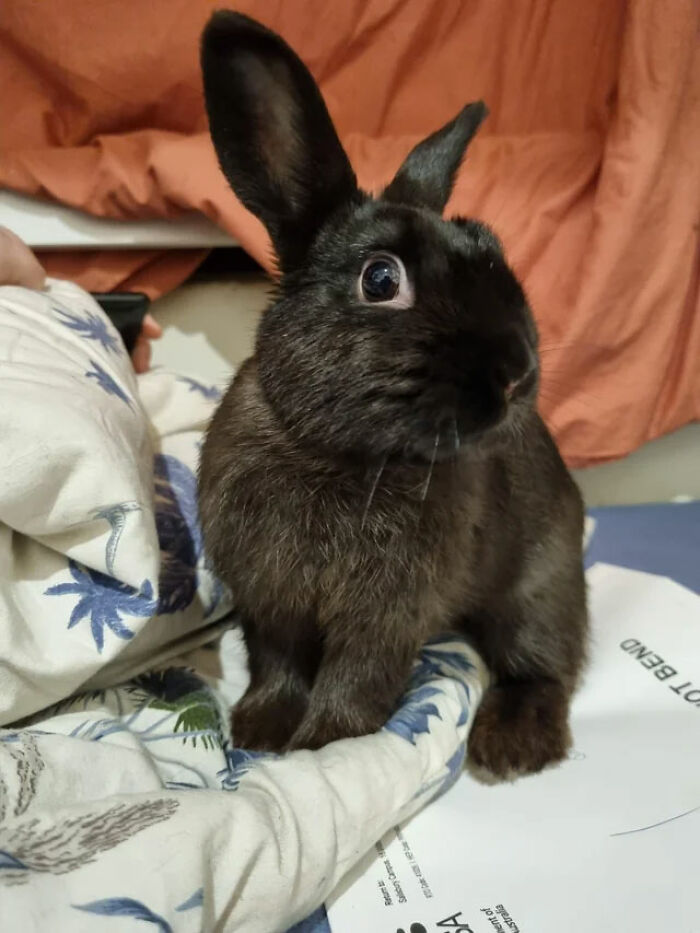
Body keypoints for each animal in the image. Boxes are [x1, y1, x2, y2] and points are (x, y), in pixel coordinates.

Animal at [198, 10, 588, 777]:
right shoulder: (270, 605)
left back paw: (508, 748)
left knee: (544, 665)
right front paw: (259, 729)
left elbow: (357, 676)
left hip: (538, 587)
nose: (518, 371)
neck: (336, 454)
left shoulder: (385, 616)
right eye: (381, 279)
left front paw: (324, 742)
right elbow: (276, 664)